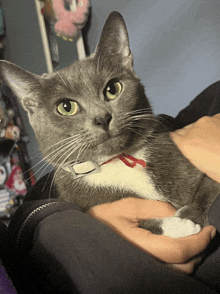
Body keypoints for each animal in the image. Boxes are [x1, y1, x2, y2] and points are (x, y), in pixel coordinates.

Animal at [0, 12, 219, 239]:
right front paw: (178, 225)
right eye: (66, 107)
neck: (116, 161)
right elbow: (144, 225)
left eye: (113, 89)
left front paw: (190, 217)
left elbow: (208, 185)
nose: (102, 118)